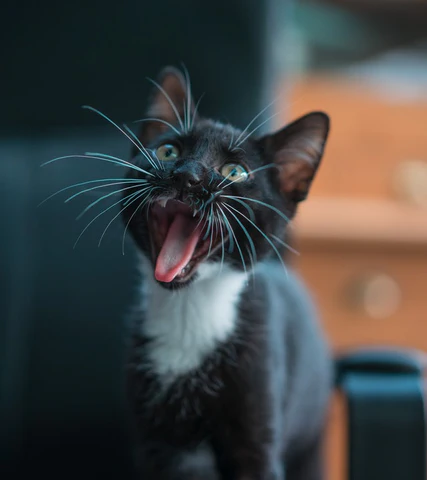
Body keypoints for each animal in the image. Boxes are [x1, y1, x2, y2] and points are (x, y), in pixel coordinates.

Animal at [122, 67, 332, 480]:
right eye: (168, 151)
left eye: (235, 172)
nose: (186, 176)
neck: (190, 309)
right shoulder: (152, 443)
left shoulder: (257, 432)